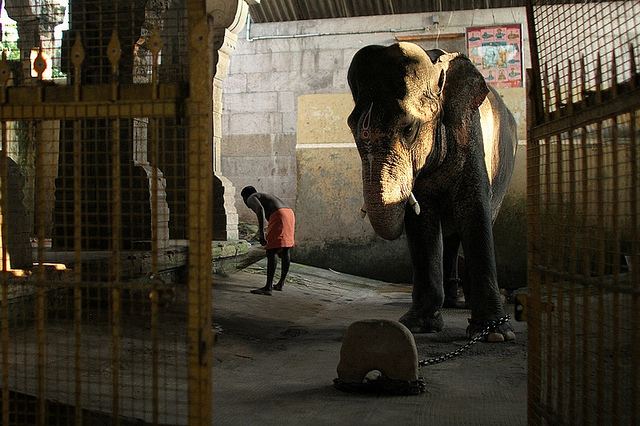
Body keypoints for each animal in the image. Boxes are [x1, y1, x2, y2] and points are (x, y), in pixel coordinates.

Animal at [348, 43, 516, 342]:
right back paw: (450, 302)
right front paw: (418, 325)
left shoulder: (470, 135)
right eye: (350, 127)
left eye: (409, 128)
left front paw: (495, 334)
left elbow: (475, 213)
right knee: (449, 239)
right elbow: (422, 221)